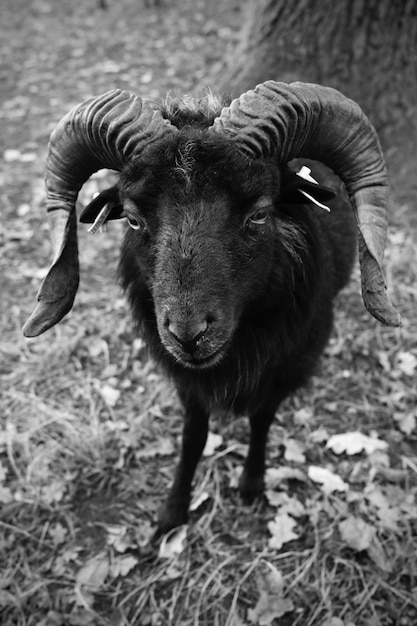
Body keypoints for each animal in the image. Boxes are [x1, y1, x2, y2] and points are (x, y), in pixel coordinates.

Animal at [23, 81, 400, 532]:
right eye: (132, 219)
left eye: (259, 214)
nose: (189, 335)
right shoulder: (186, 381)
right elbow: (193, 435)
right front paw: (172, 511)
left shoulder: (287, 366)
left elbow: (261, 420)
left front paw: (252, 485)